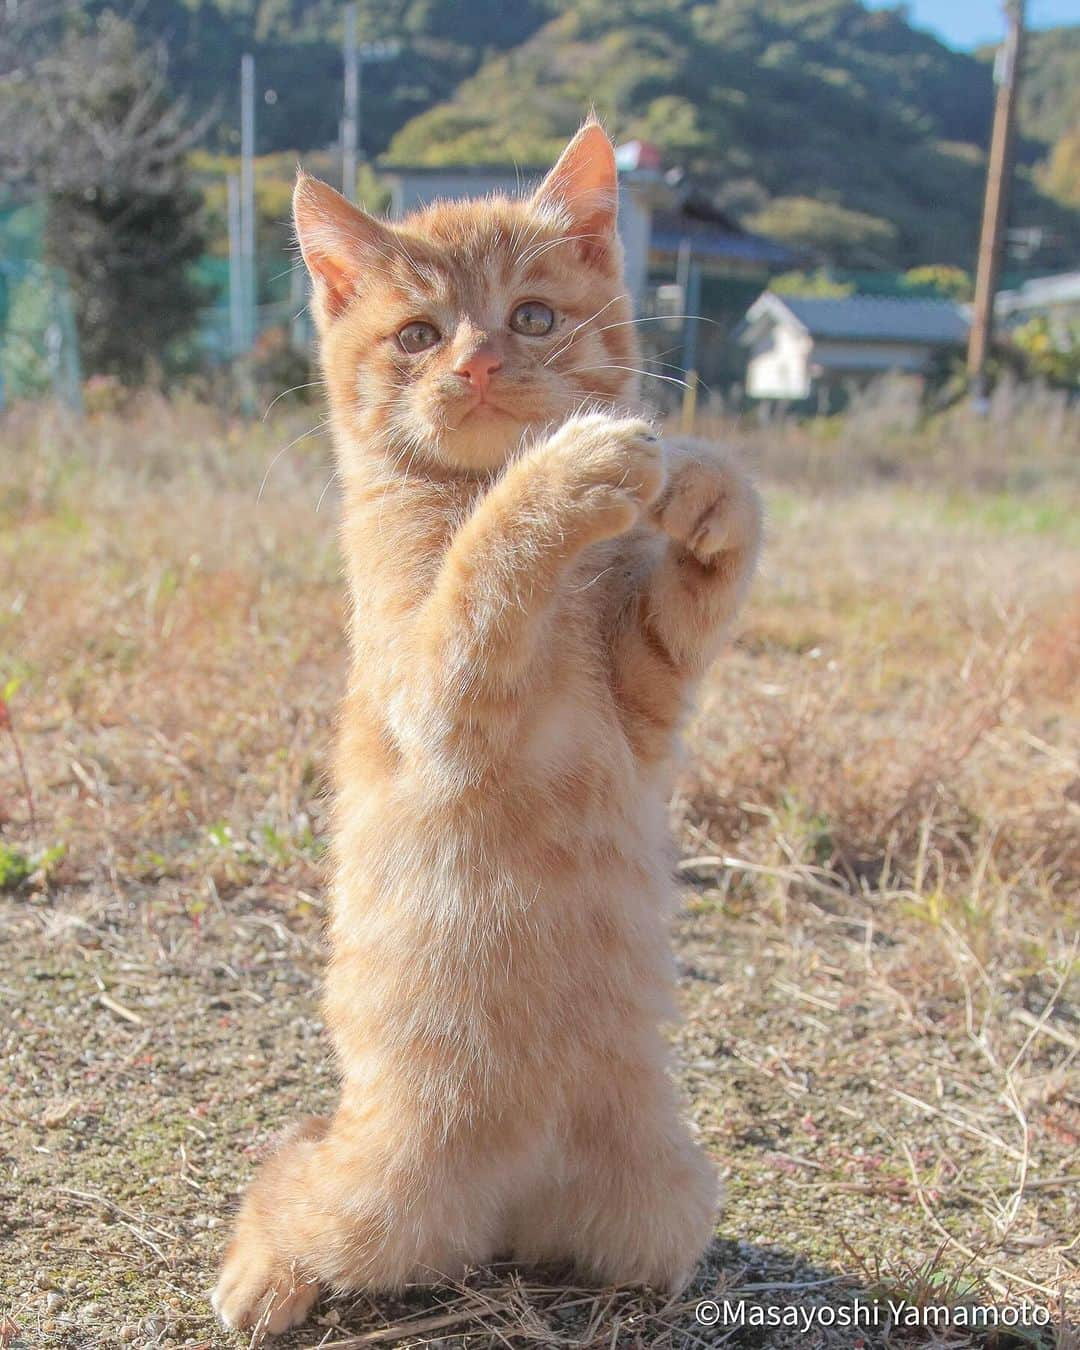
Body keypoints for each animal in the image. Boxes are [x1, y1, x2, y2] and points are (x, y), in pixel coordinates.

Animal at [213, 121, 761, 1333]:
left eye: (534, 317)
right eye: (419, 335)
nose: (475, 365)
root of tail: (507, 1217)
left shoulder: (646, 705)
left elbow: (699, 588)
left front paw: (703, 488)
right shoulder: (437, 691)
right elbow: (484, 569)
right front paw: (569, 469)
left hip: (668, 1210)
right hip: (363, 1206)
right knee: (284, 1183)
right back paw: (257, 1278)